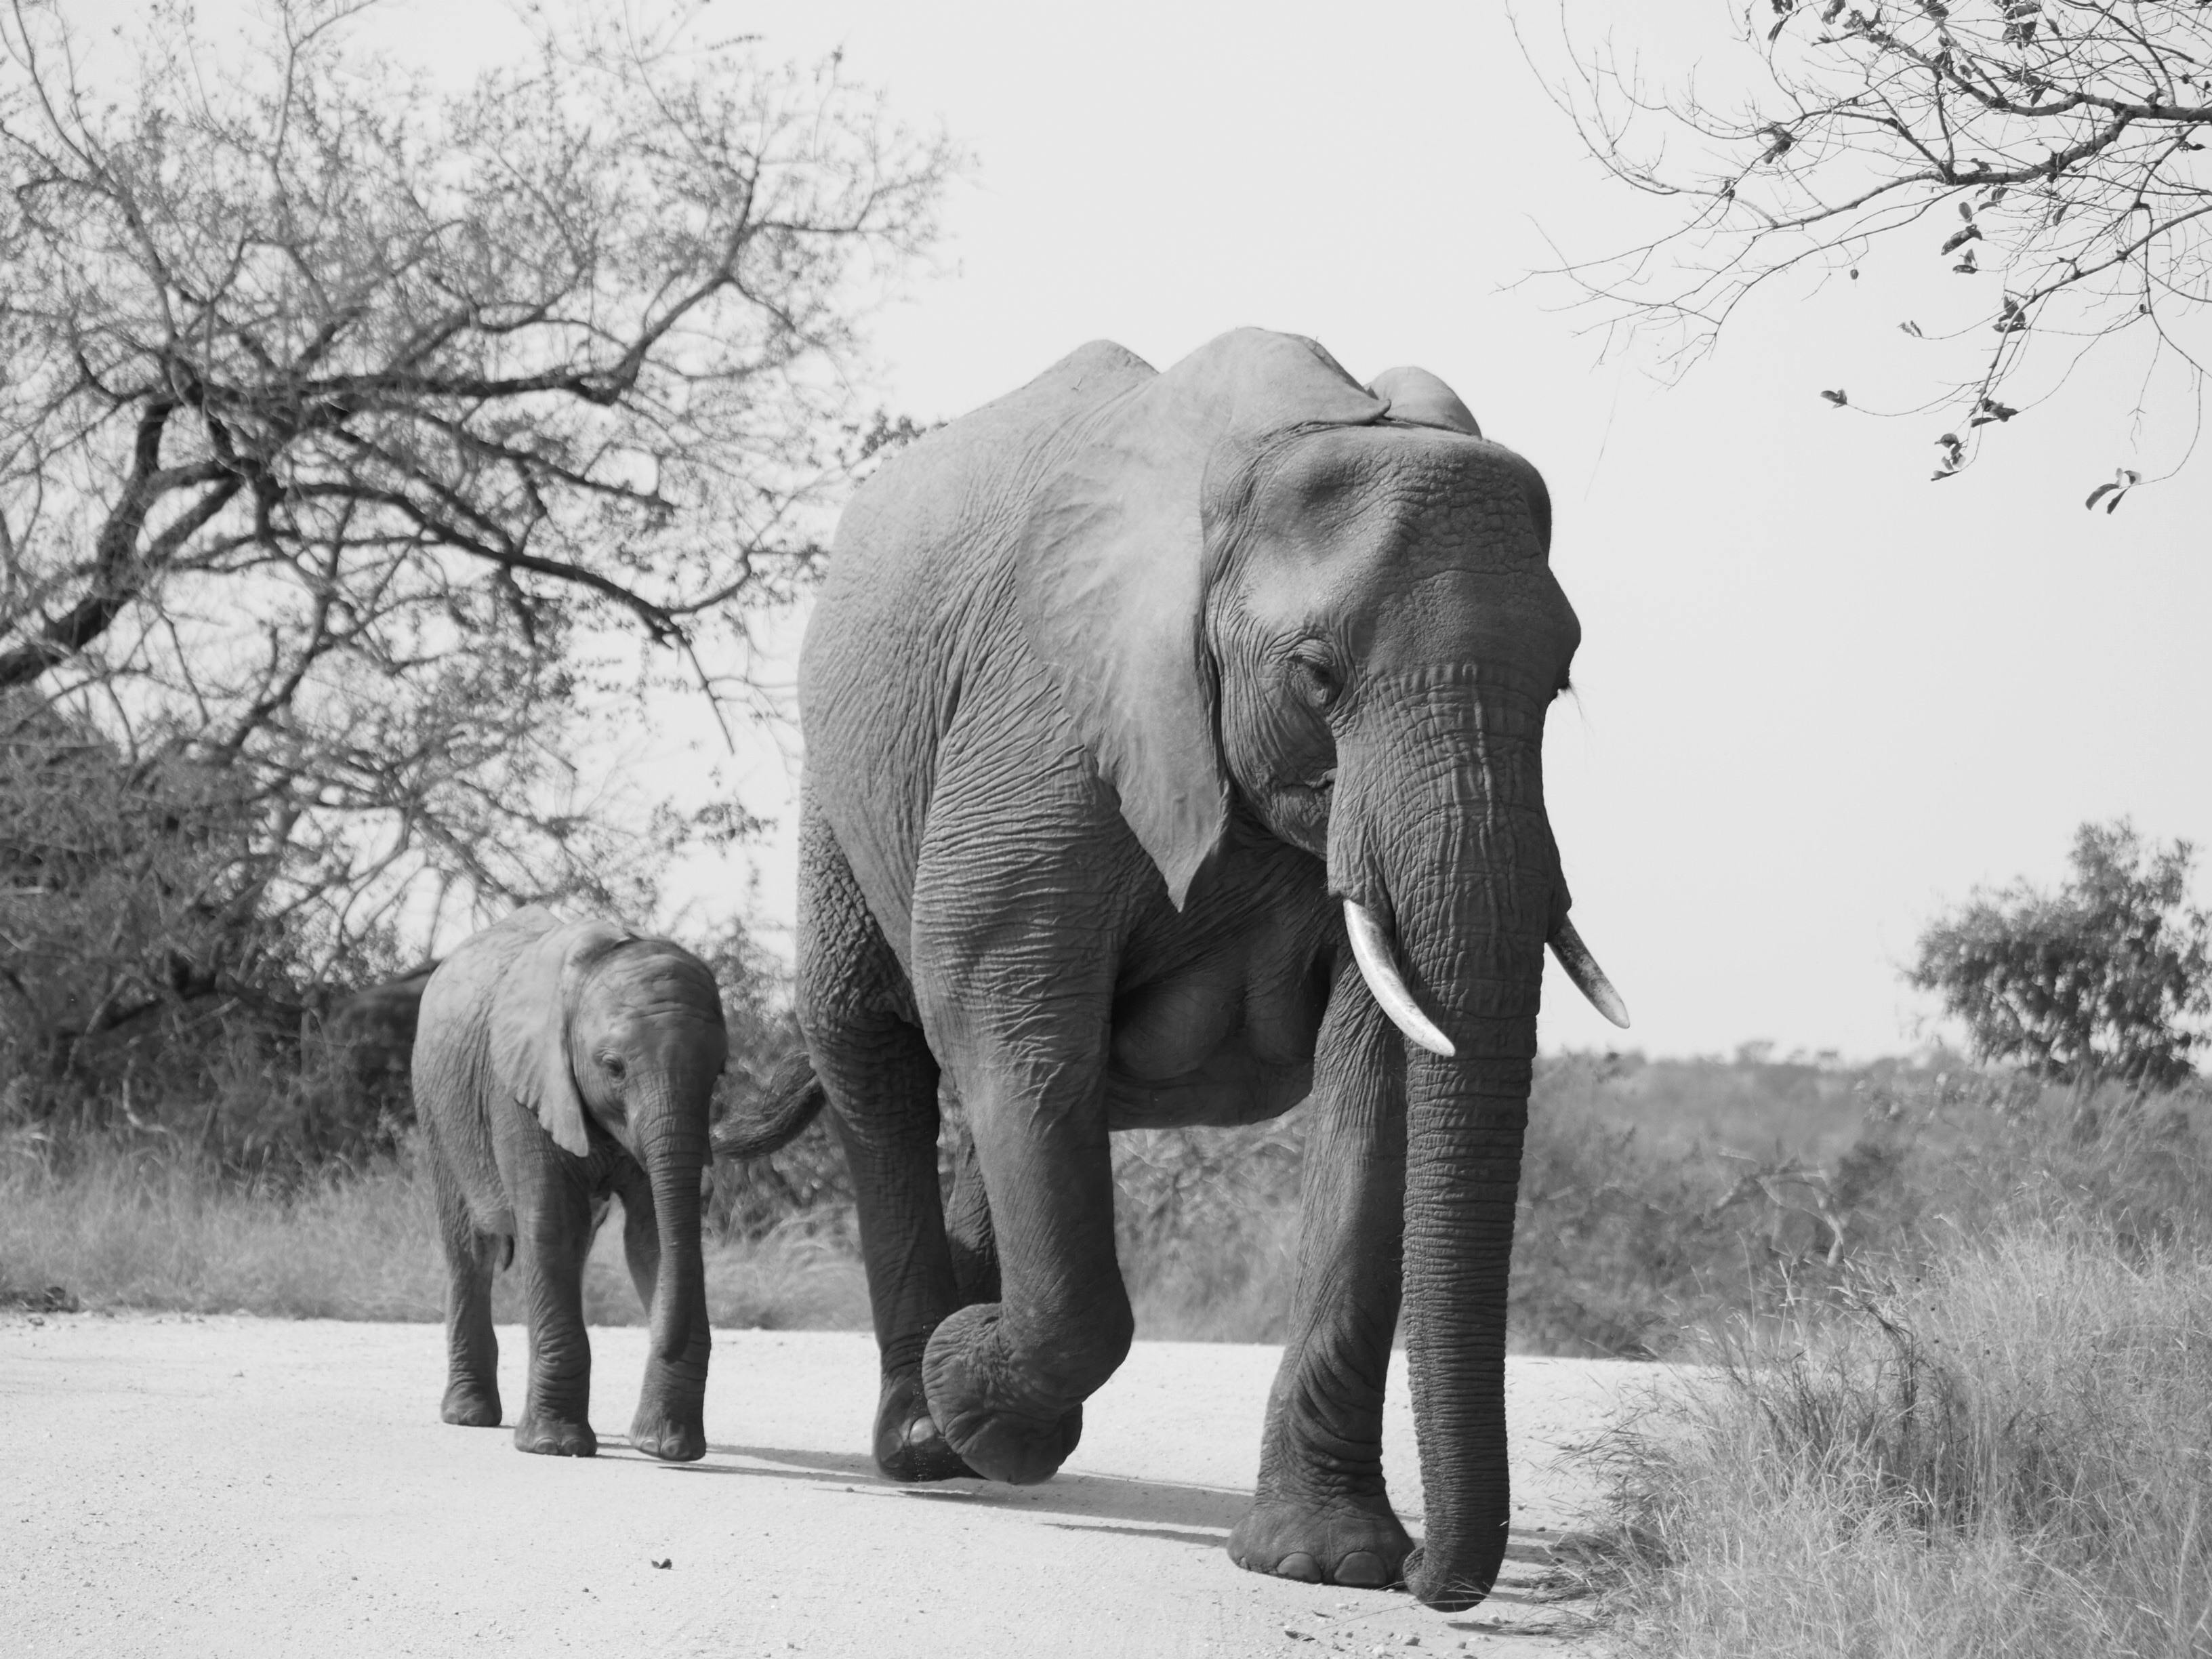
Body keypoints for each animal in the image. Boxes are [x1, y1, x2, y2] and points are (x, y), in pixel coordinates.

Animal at [412, 905, 728, 1461]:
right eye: (613, 1067)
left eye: (719, 1073)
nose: (661, 1341)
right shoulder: (519, 1087)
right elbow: (551, 1225)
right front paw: (554, 1447)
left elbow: (653, 1238)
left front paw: (667, 1448)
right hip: (435, 1103)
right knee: (470, 1248)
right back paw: (469, 1417)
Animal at [785, 327, 1627, 1610]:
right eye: (1318, 675)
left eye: (1563, 680)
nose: (1434, 1576)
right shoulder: (1046, 719)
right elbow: (1003, 1005)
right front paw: (970, 1389)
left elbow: (1380, 1078)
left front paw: (1324, 1562)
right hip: (836, 783)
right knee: (877, 1048)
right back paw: (925, 1438)